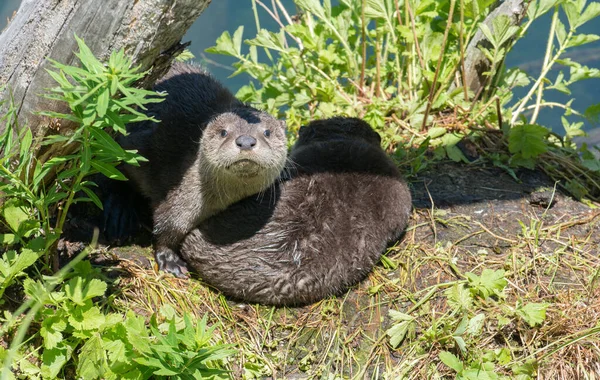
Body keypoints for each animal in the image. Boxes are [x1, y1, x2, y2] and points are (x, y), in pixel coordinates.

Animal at [107, 61, 288, 276]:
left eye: (267, 132)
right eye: (223, 132)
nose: (245, 141)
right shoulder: (180, 195)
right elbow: (167, 225)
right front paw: (169, 260)